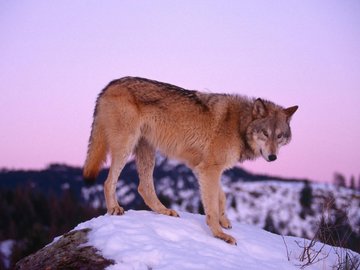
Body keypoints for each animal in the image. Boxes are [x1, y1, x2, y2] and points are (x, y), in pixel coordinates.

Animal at [83, 76, 298, 245]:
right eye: (265, 133)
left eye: (279, 136)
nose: (272, 157)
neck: (239, 125)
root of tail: (110, 84)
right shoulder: (209, 169)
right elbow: (212, 206)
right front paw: (219, 234)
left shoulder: (204, 168)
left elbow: (221, 197)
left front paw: (224, 222)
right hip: (125, 147)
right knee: (108, 181)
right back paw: (114, 208)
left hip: (147, 151)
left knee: (144, 188)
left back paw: (165, 211)